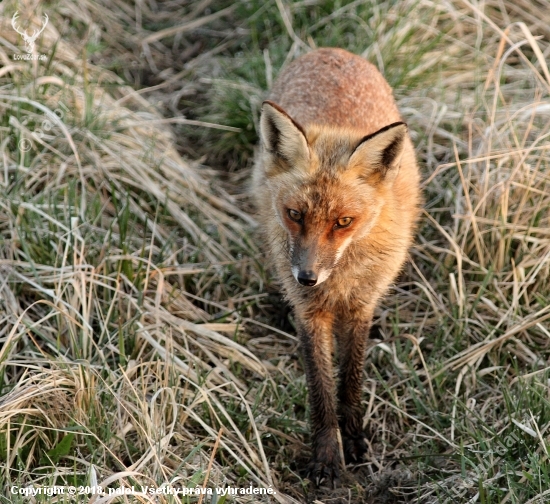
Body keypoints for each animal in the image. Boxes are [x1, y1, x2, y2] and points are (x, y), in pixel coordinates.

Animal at [254, 49, 422, 486]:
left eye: (343, 222)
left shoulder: (361, 306)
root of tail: (330, 52)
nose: (306, 277)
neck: (339, 280)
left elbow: (350, 378)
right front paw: (328, 456)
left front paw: (355, 438)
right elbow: (321, 390)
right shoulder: (311, 313)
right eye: (295, 214)